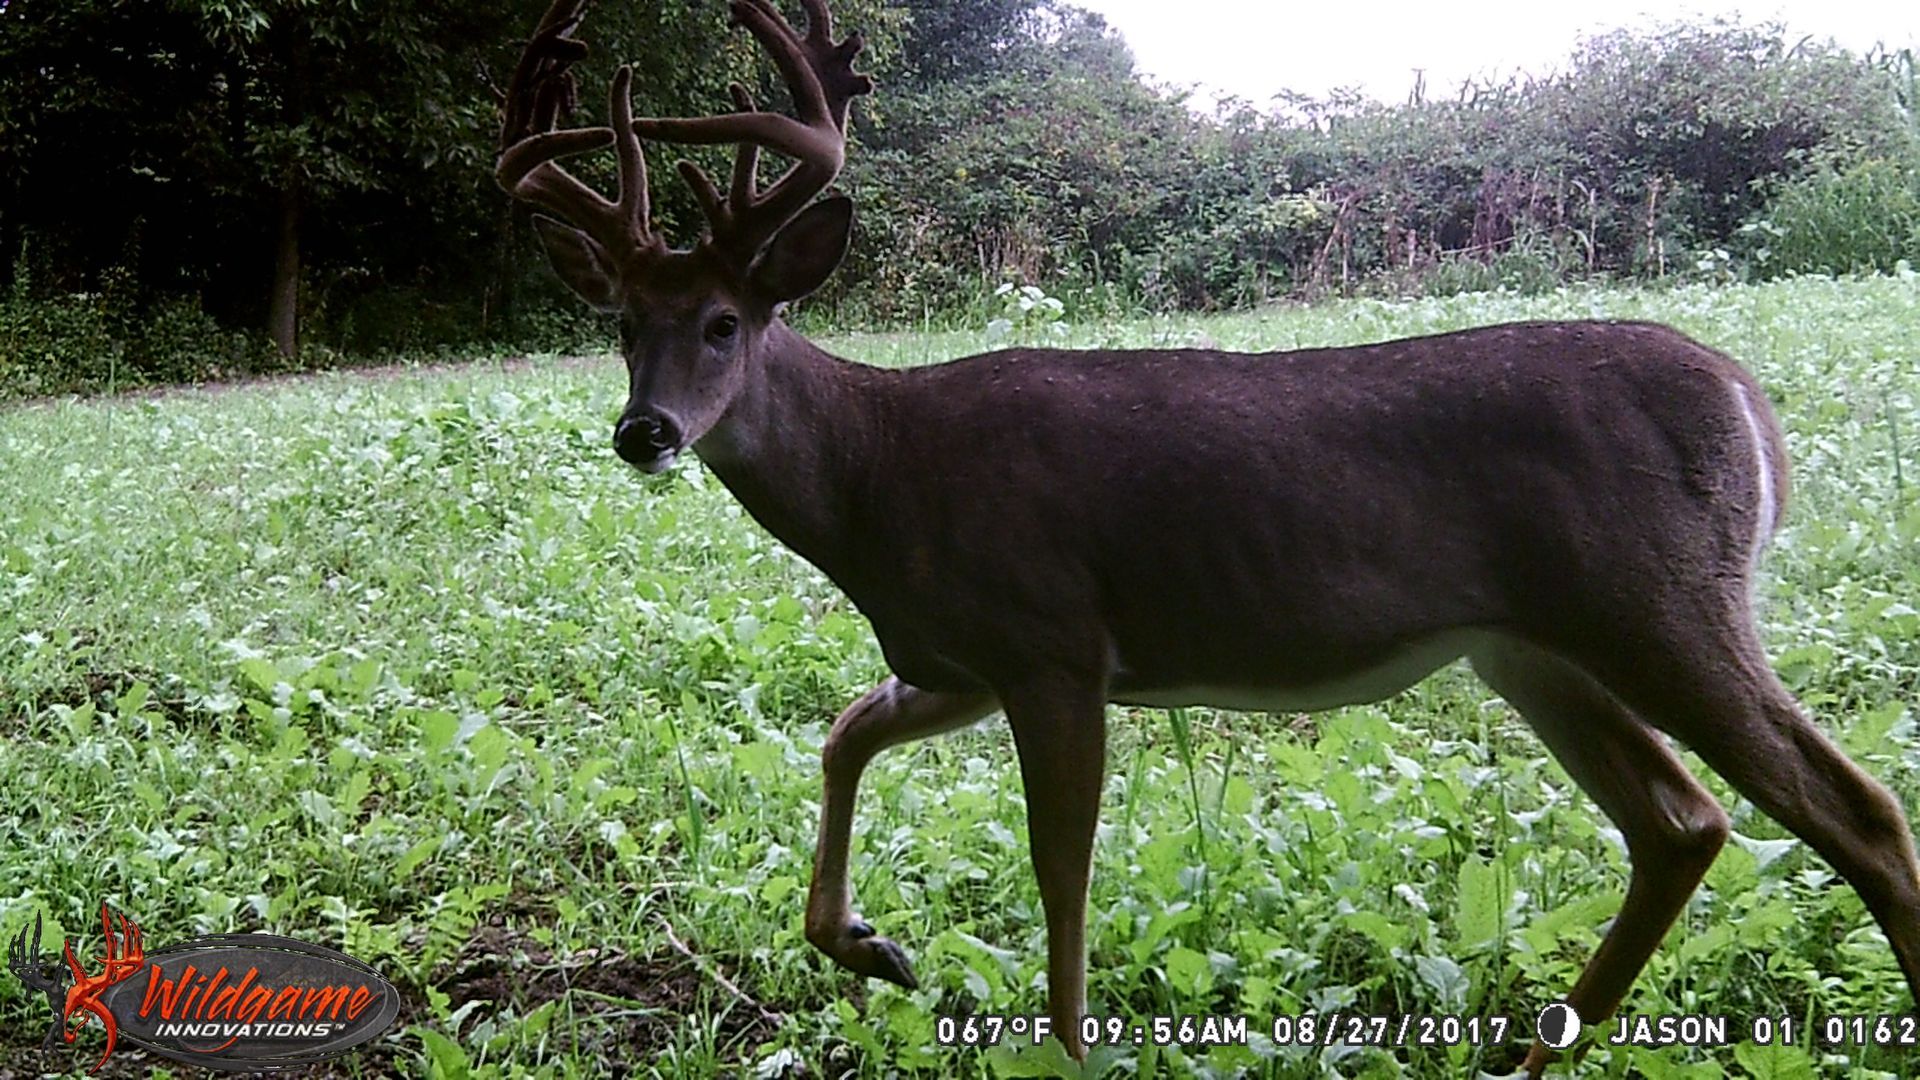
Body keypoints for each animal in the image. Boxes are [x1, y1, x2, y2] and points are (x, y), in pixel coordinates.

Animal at [495, 1, 1920, 1074]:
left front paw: (1067, 1049)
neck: (881, 482)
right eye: (623, 325)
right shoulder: (959, 654)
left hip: (1655, 598)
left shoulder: (1055, 642)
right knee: (1681, 823)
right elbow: (843, 736)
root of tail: (1749, 402)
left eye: (725, 322)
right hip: (1530, 644)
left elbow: (1061, 869)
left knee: (1852, 808)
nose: (644, 432)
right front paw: (872, 948)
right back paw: (1526, 1057)